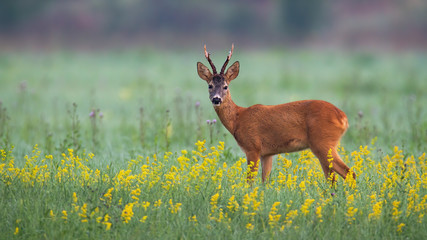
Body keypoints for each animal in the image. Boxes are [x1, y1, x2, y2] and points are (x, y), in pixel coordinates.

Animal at [199, 43, 356, 182]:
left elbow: (250, 181)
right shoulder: (267, 153)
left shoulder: (252, 147)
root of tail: (343, 117)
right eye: (210, 86)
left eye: (225, 86)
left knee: (349, 173)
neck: (238, 118)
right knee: (332, 178)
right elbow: (265, 182)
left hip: (324, 142)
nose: (216, 99)